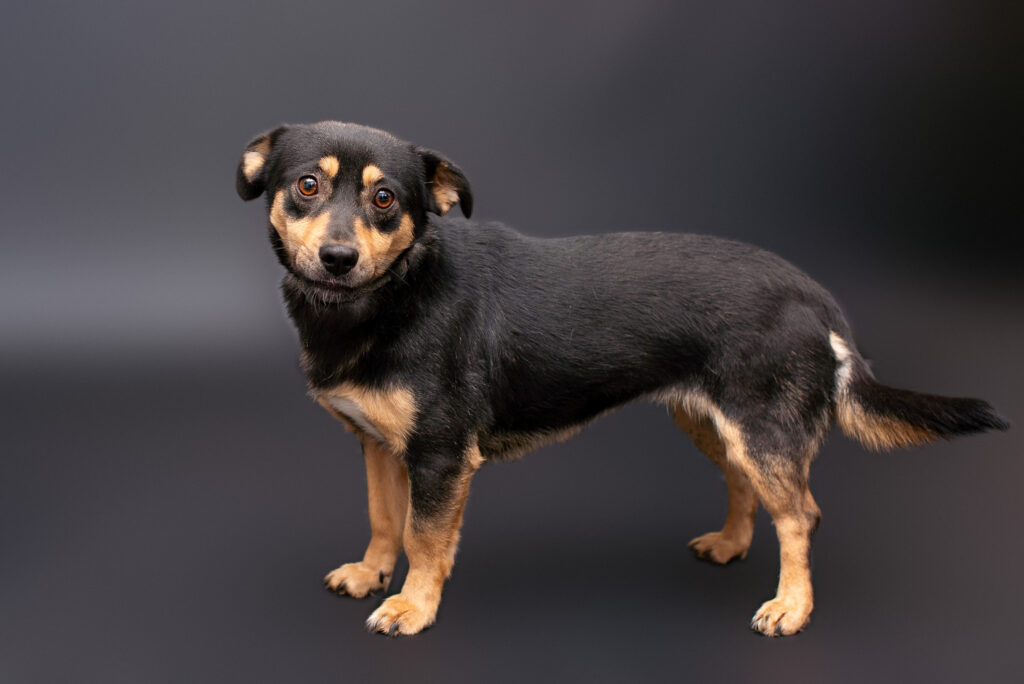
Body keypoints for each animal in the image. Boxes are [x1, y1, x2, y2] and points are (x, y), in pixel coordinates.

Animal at [235, 121, 1008, 637]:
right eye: (307, 185)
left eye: (387, 200)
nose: (338, 258)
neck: (392, 294)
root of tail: (816, 299)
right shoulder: (378, 445)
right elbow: (382, 518)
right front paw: (371, 574)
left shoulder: (441, 456)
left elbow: (425, 538)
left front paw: (411, 606)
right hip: (713, 424)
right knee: (745, 488)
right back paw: (729, 545)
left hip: (762, 430)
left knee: (800, 515)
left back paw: (791, 606)